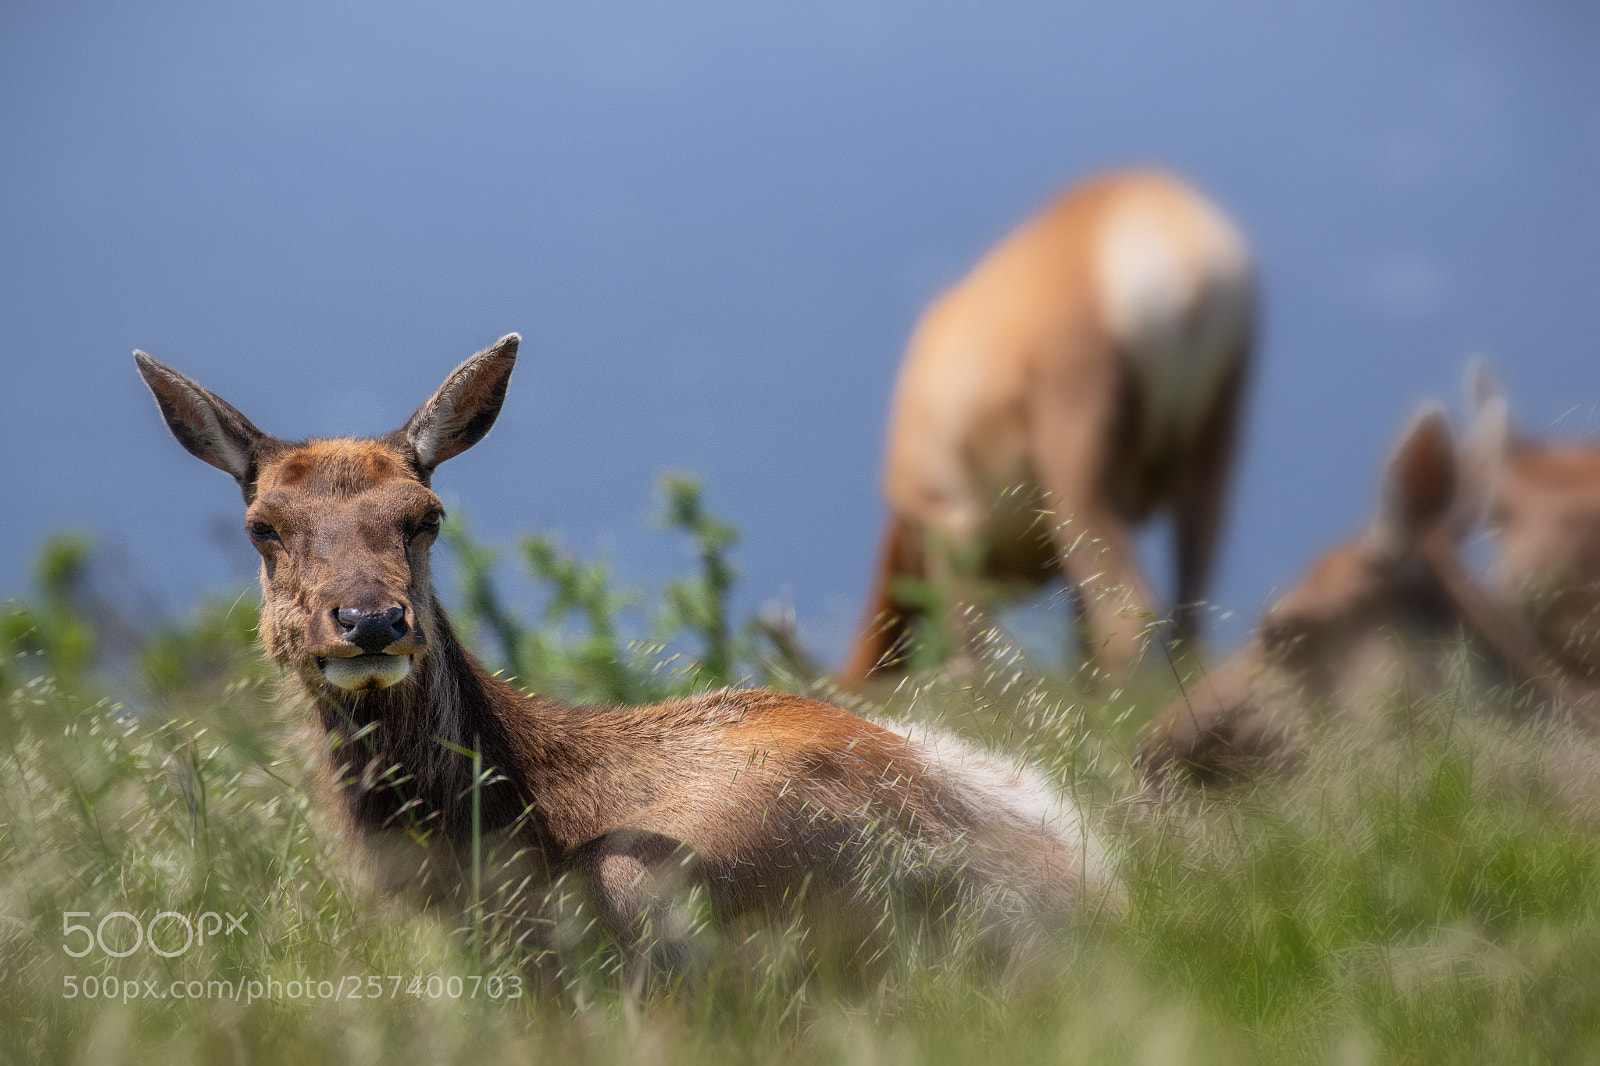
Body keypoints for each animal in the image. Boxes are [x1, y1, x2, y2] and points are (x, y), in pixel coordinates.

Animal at [844, 170, 1255, 688]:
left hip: (1080, 474)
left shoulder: (950, 523)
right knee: (1186, 613)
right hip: (1210, 451)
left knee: (1129, 610)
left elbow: (970, 655)